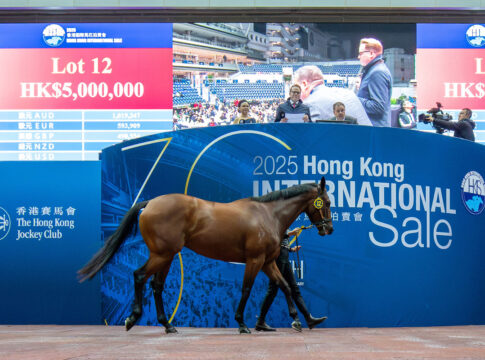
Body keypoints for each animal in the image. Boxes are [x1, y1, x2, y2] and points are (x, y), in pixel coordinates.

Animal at [78, 177, 332, 334]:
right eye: (327, 202)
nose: (328, 229)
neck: (267, 214)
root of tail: (150, 203)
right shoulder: (255, 260)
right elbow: (246, 289)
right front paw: (241, 323)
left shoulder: (268, 262)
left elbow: (285, 286)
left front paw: (298, 320)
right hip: (161, 254)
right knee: (140, 276)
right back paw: (133, 318)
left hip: (167, 256)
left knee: (157, 286)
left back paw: (167, 325)